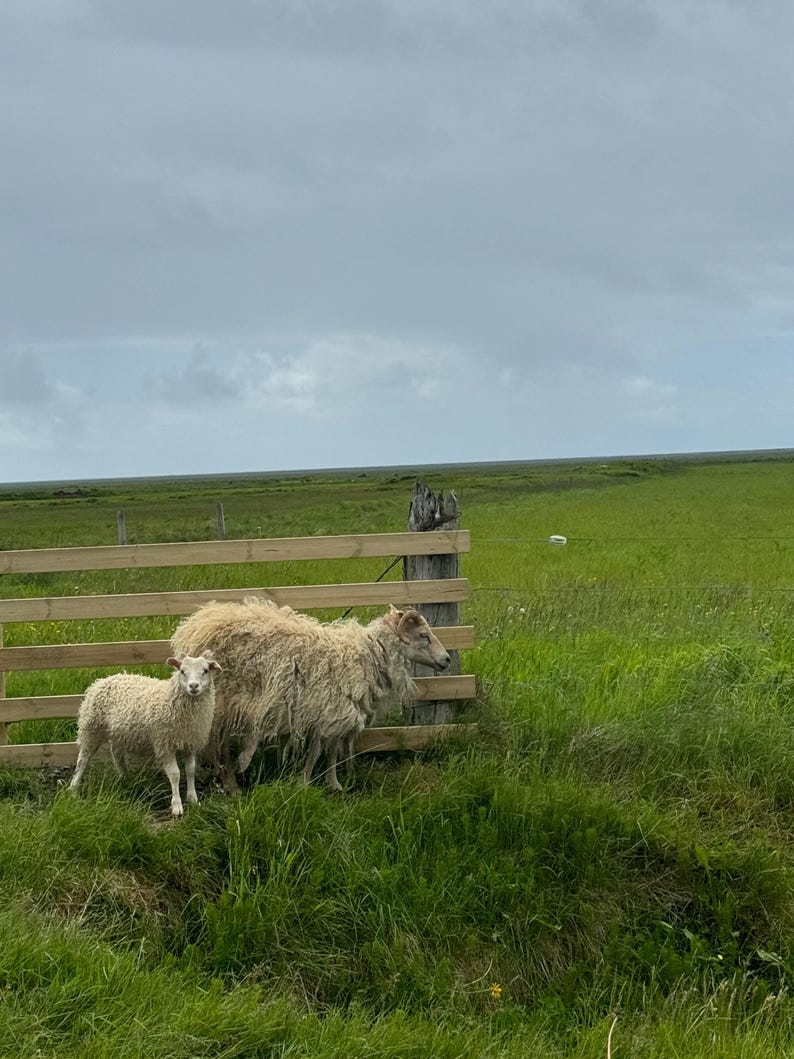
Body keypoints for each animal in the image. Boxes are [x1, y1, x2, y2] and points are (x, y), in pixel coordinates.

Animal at [69, 652, 222, 817]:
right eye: (182, 671)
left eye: (205, 670)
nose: (193, 686)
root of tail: (103, 680)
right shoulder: (164, 744)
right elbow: (175, 774)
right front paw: (176, 805)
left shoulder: (190, 742)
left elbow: (191, 770)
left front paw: (193, 798)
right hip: (91, 728)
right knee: (83, 759)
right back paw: (74, 788)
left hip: (119, 732)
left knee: (116, 754)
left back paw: (125, 777)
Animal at [170, 598, 451, 793]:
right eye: (423, 636)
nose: (447, 659)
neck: (366, 655)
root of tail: (197, 623)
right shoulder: (328, 708)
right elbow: (319, 753)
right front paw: (306, 784)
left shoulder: (329, 712)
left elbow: (330, 751)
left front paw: (332, 783)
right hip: (223, 703)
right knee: (221, 747)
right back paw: (232, 785)